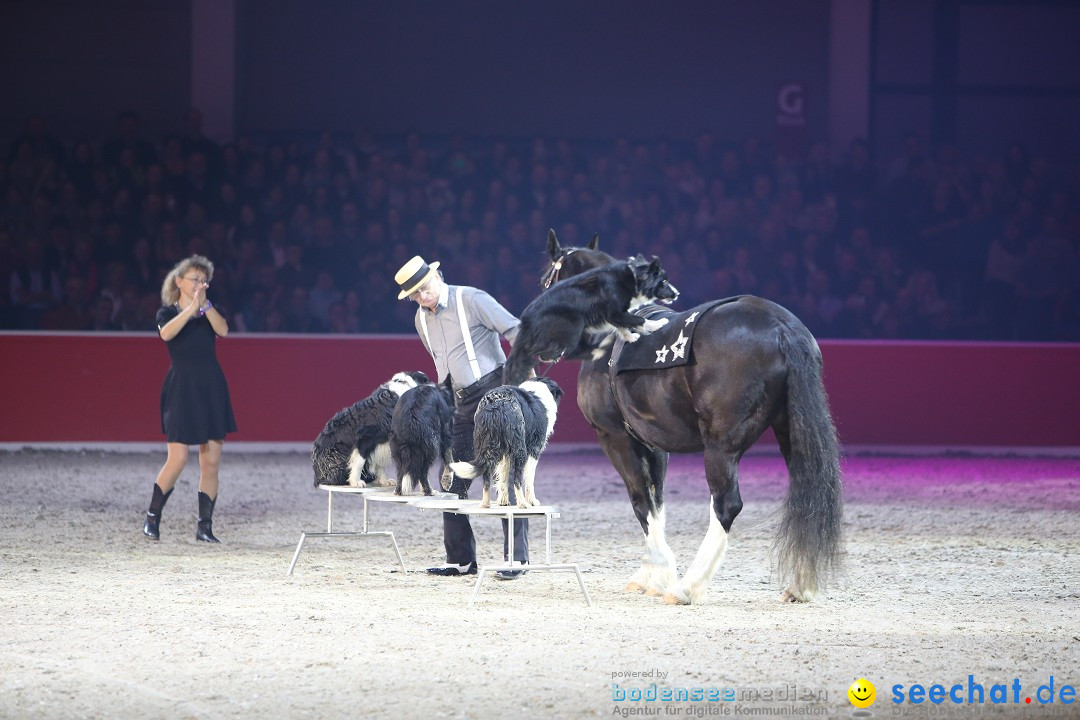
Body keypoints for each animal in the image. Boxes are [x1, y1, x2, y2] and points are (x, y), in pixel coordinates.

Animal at [449, 375, 565, 509]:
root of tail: (495, 404)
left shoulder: (505, 453)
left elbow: (503, 477)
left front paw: (503, 501)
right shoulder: (534, 450)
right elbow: (529, 479)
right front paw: (532, 501)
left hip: (485, 444)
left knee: (486, 477)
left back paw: (485, 504)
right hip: (520, 449)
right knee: (517, 480)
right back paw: (523, 504)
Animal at [503, 255, 673, 386]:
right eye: (664, 281)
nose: (676, 294)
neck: (634, 277)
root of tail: (526, 319)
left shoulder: (613, 315)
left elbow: (624, 325)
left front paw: (630, 337)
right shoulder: (614, 312)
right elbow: (638, 319)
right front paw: (658, 324)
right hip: (573, 324)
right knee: (566, 352)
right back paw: (599, 349)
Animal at [540, 234, 842, 604]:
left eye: (549, 280)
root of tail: (782, 328)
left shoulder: (615, 438)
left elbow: (641, 502)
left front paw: (661, 575)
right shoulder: (654, 444)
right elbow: (657, 503)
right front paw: (648, 575)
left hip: (721, 447)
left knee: (726, 505)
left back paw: (686, 587)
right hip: (791, 432)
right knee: (808, 494)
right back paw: (800, 586)